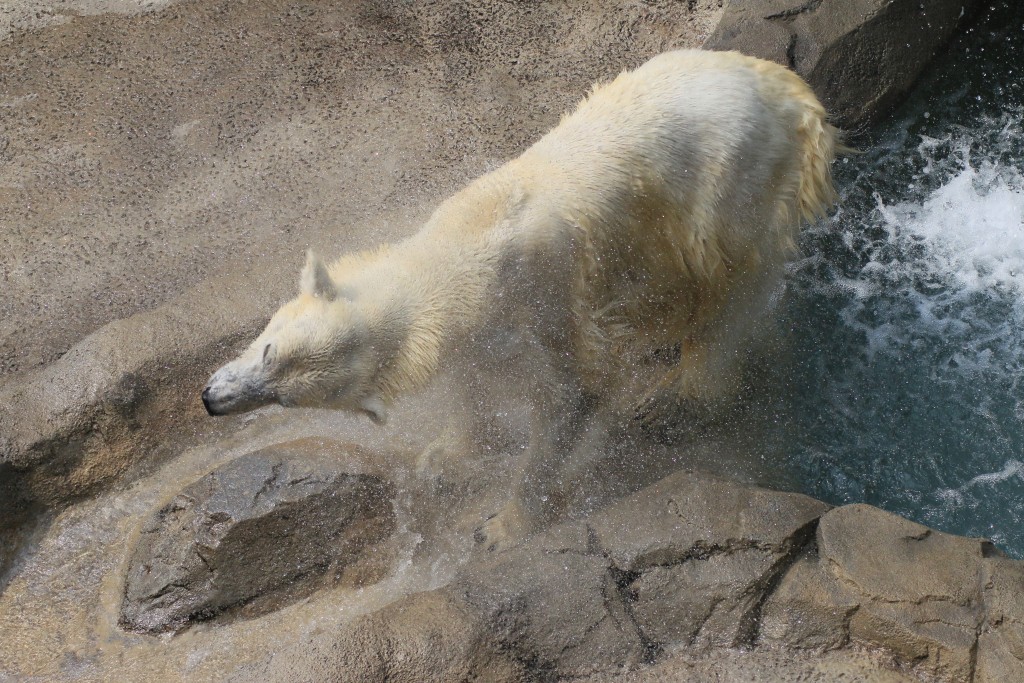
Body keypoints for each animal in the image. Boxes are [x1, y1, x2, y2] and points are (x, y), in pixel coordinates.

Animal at [201, 48, 839, 548]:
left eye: (277, 380)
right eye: (270, 353)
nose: (210, 399)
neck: (466, 243)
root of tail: (789, 93)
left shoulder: (544, 300)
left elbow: (571, 394)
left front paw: (500, 527)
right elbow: (472, 378)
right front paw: (444, 457)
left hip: (725, 188)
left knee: (726, 289)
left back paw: (673, 397)